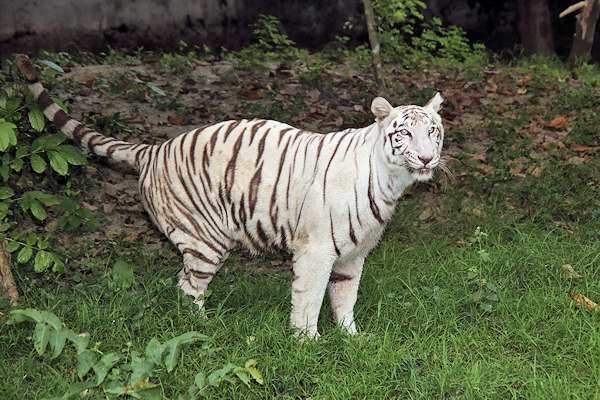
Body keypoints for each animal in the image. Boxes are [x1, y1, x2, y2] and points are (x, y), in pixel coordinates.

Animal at [16, 54, 442, 340]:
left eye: (433, 131)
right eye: (404, 133)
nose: (426, 158)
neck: (391, 182)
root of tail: (153, 149)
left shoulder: (354, 255)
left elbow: (344, 297)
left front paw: (352, 339)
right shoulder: (316, 249)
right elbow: (309, 299)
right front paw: (309, 343)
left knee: (182, 282)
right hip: (206, 238)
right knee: (188, 287)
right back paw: (206, 331)